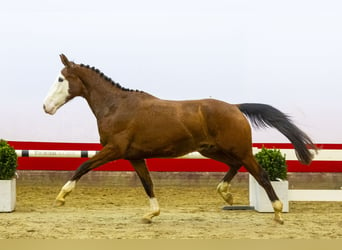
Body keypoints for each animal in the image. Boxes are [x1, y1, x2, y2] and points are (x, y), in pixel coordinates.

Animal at [43, 54, 318, 225]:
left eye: (60, 79)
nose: (46, 107)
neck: (116, 106)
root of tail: (235, 107)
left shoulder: (115, 149)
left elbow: (82, 165)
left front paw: (60, 197)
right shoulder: (135, 156)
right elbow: (148, 184)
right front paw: (151, 215)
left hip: (239, 150)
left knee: (260, 174)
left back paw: (278, 213)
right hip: (212, 150)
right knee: (236, 166)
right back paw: (226, 195)